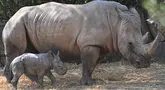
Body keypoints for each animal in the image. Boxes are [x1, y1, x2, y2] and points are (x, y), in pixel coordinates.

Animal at [1, 0, 160, 85]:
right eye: (130, 44)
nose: (145, 65)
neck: (116, 22)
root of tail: (13, 15)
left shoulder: (100, 45)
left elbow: (92, 65)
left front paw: (90, 81)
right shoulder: (89, 44)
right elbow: (88, 63)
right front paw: (87, 84)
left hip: (27, 22)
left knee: (29, 52)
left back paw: (34, 81)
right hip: (16, 23)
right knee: (15, 52)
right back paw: (10, 81)